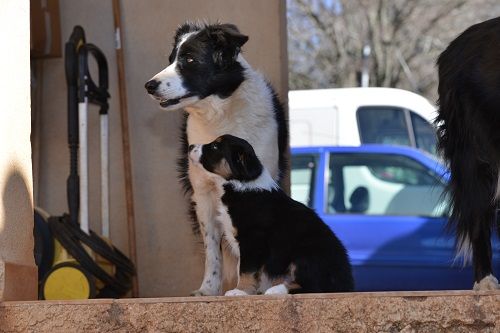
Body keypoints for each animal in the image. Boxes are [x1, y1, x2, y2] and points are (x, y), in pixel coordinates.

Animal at [143, 22, 288, 294]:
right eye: (170, 59)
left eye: (189, 59)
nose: (149, 85)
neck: (220, 114)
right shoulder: (203, 193)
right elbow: (212, 248)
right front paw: (208, 289)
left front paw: (256, 287)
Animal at [188, 135, 356, 294]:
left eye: (215, 146)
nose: (190, 146)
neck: (240, 184)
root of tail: (346, 284)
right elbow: (244, 268)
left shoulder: (252, 239)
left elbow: (246, 269)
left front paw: (239, 291)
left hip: (306, 255)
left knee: (313, 287)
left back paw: (276, 290)